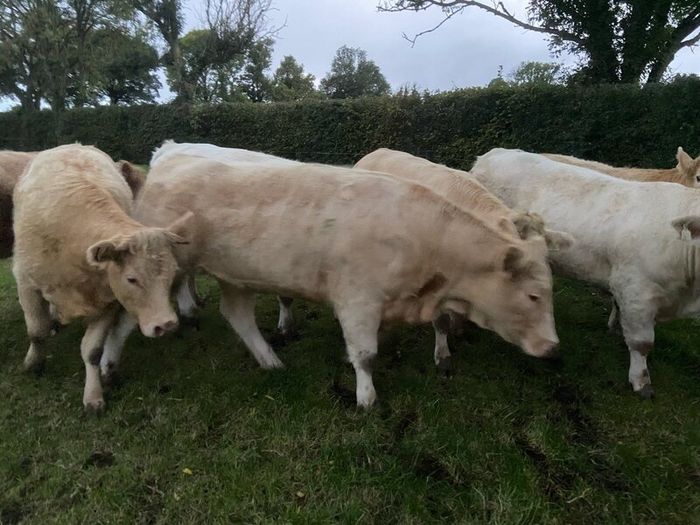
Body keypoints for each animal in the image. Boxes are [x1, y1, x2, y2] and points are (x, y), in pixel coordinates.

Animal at [12, 144, 190, 412]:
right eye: (131, 279)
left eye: (171, 274)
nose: (166, 324)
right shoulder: (26, 284)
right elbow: (37, 331)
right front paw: (33, 363)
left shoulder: (108, 301)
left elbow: (93, 351)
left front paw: (93, 396)